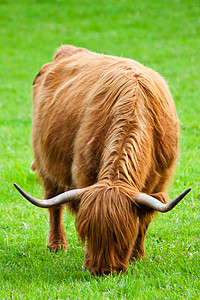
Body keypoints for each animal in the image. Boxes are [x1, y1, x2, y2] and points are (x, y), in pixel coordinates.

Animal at [14, 44, 191, 274]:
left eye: (122, 238)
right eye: (88, 235)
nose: (103, 270)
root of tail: (67, 50)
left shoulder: (159, 180)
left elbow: (144, 220)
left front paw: (136, 256)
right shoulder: (84, 172)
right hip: (46, 161)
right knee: (53, 202)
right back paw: (57, 245)